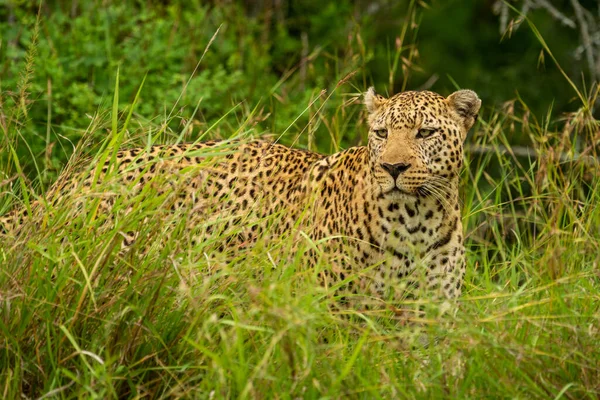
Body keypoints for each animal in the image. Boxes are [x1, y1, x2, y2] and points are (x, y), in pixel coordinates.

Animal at [0, 88, 478, 310]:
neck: (415, 221)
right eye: (381, 133)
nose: (392, 168)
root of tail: (80, 175)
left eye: (426, 133)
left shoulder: (430, 318)